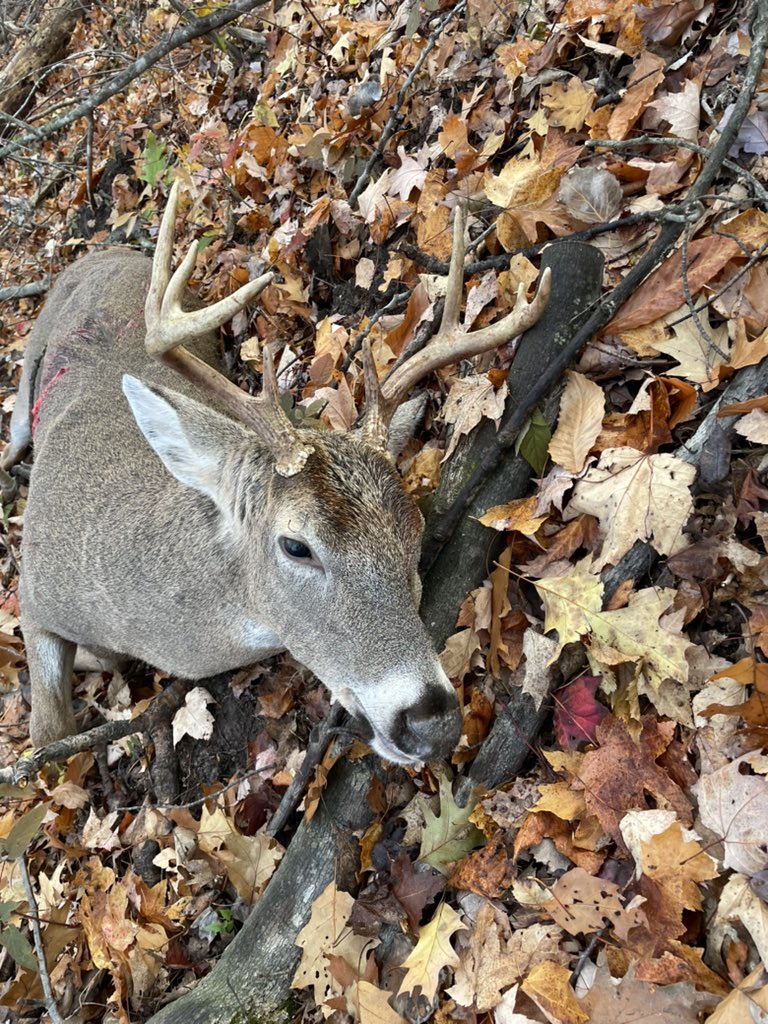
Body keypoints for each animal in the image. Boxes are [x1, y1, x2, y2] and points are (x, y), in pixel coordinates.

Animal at [1, 181, 550, 765]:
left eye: (415, 533)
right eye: (295, 545)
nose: (432, 724)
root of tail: (102, 253)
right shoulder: (33, 595)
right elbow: (48, 730)